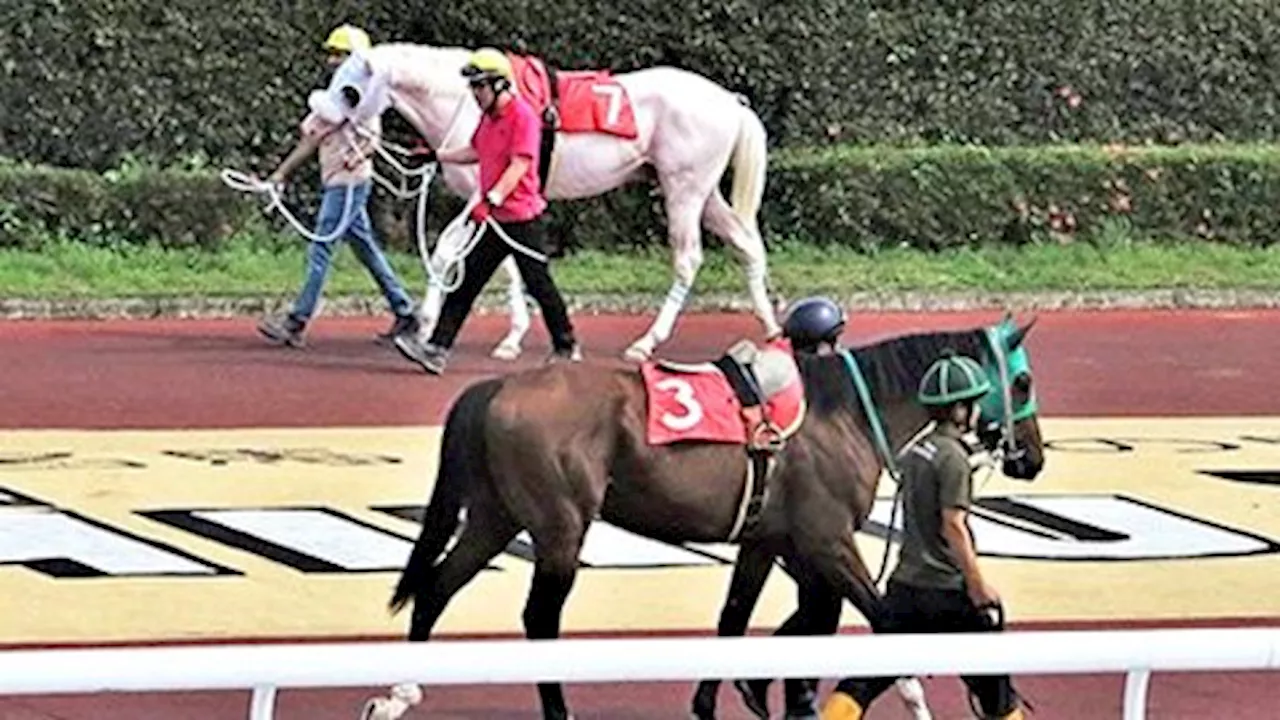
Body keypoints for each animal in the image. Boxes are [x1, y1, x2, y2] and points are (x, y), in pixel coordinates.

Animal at [309, 40, 778, 358]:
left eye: (348, 88)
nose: (312, 124)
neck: (467, 101)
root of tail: (731, 102)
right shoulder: (501, 203)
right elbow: (510, 265)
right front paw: (511, 338)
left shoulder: (482, 193)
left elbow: (445, 253)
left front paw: (423, 327)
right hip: (704, 191)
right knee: (746, 244)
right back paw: (772, 328)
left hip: (684, 190)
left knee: (688, 259)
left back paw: (646, 342)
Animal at [373, 313, 1044, 717]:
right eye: (1024, 382)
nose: (1033, 458)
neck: (846, 410)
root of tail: (495, 388)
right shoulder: (827, 539)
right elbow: (882, 619)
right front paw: (911, 692)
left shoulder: (770, 538)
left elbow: (739, 621)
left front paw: (724, 697)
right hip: (560, 525)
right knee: (538, 617)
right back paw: (555, 708)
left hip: (496, 515)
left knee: (436, 587)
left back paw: (398, 692)